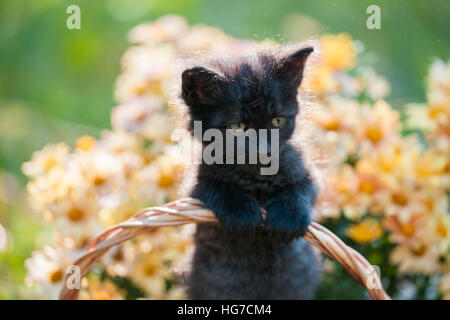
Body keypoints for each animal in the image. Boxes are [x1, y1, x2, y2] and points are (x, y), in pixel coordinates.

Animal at [180, 45, 320, 300]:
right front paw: (244, 215)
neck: (256, 177)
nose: (264, 151)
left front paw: (288, 217)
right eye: (237, 128)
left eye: (277, 121)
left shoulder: (308, 172)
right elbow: (218, 188)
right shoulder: (193, 186)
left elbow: (300, 190)